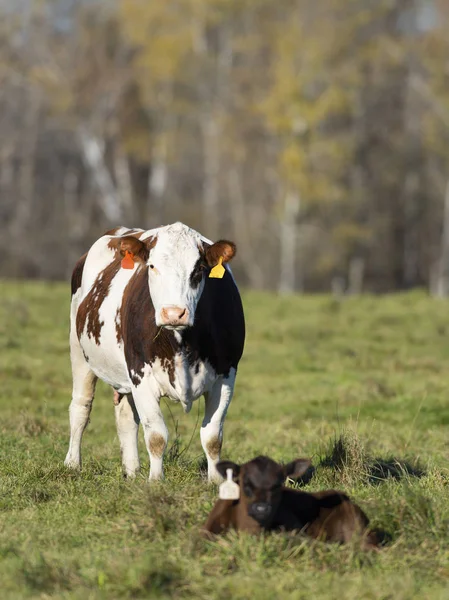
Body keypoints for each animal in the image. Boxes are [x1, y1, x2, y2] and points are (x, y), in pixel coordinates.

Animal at [63, 223, 245, 480]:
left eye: (199, 269)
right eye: (152, 266)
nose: (174, 313)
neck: (181, 344)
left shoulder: (226, 375)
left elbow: (212, 437)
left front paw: (216, 481)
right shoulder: (141, 375)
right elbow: (156, 436)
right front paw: (156, 481)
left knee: (125, 417)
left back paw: (132, 471)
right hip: (78, 350)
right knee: (81, 406)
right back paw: (72, 464)